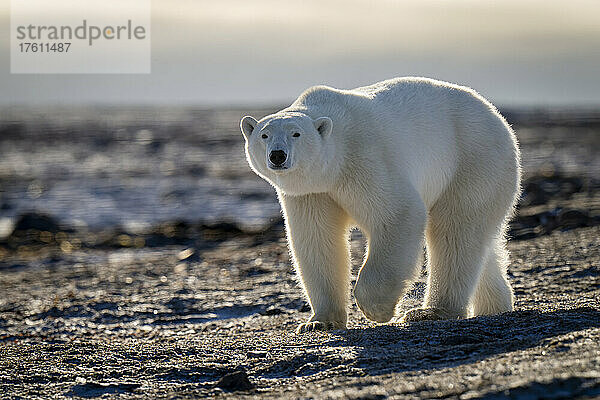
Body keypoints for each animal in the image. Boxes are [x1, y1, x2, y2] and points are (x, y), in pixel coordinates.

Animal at [239, 76, 520, 332]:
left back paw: (430, 312)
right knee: (479, 241)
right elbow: (317, 240)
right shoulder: (312, 193)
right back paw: (494, 306)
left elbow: (399, 214)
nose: (277, 155)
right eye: (264, 135)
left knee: (454, 230)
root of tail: (498, 119)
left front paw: (379, 310)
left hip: (471, 160)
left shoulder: (363, 159)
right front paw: (318, 322)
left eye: (296, 134)